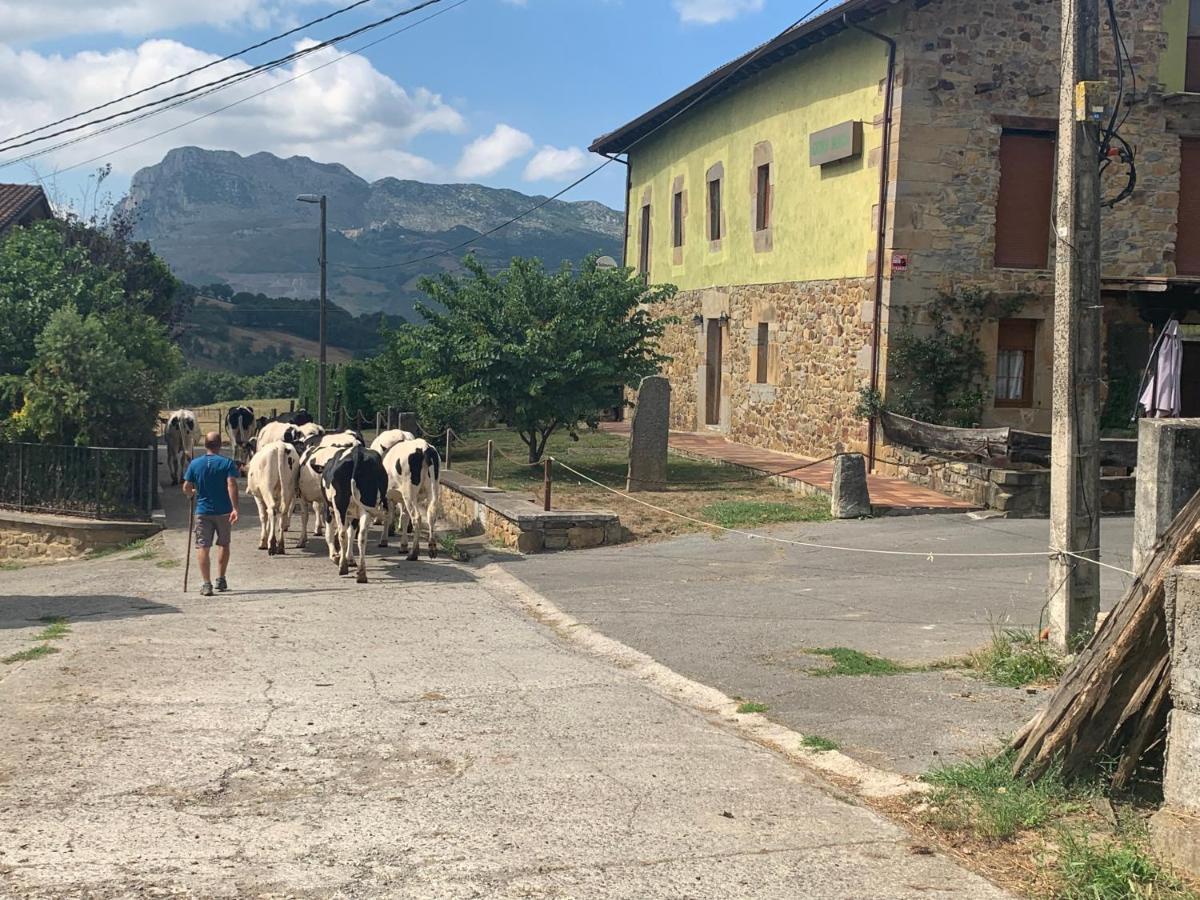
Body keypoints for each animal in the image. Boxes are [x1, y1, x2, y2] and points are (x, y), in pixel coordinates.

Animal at [321, 446, 386, 585]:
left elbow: (330, 534)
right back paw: (361, 574)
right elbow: (352, 533)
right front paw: (348, 558)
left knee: (342, 534)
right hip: (365, 505)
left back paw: (342, 567)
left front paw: (336, 556)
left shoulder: (328, 508)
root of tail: (357, 453)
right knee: (361, 536)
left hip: (339, 504)